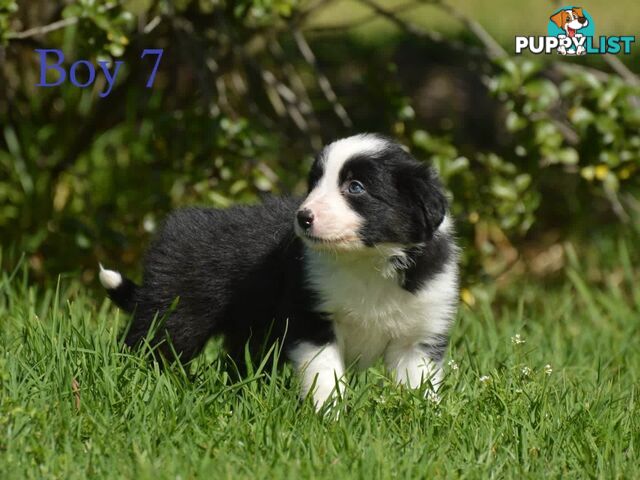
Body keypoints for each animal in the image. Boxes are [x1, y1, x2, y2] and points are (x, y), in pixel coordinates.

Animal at [99, 134, 460, 408]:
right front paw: (329, 415)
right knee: (150, 345)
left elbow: (417, 382)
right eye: (314, 183)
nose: (303, 217)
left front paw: (421, 417)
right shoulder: (311, 315)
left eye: (356, 186)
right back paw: (133, 383)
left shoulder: (417, 336)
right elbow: (325, 374)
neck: (365, 261)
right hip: (177, 309)